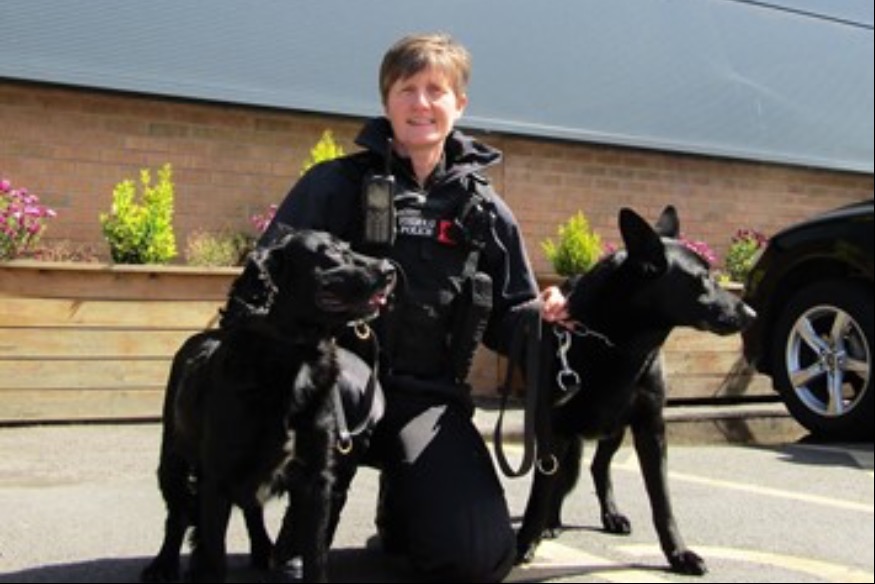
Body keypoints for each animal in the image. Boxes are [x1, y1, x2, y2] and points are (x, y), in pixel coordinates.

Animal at [140, 228, 396, 583]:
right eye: (329, 253)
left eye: (348, 246)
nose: (390, 270)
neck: (292, 363)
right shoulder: (216, 481)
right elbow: (214, 558)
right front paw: (197, 565)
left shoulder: (317, 480)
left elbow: (315, 556)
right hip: (172, 458)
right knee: (176, 515)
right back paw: (162, 565)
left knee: (251, 509)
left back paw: (263, 550)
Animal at [514, 206, 756, 575]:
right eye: (703, 279)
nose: (753, 313)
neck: (620, 343)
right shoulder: (555, 429)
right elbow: (540, 494)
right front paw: (526, 541)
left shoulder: (650, 428)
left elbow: (662, 500)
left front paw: (678, 553)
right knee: (565, 474)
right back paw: (551, 522)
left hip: (614, 431)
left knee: (599, 468)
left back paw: (610, 515)